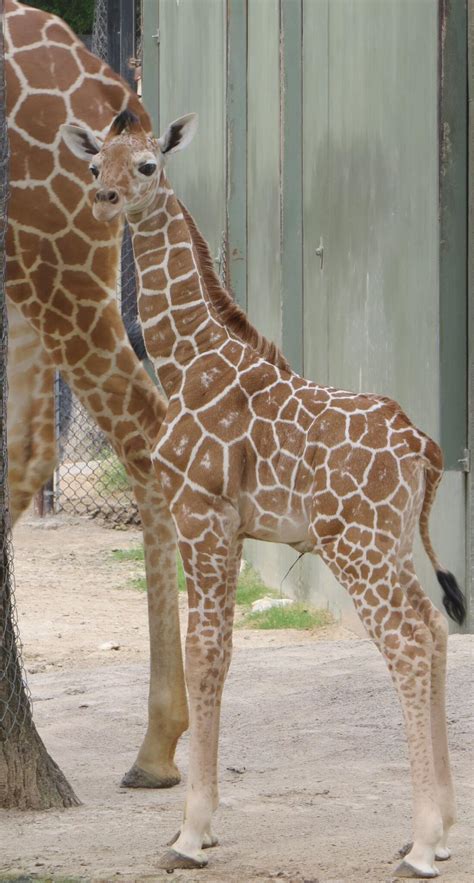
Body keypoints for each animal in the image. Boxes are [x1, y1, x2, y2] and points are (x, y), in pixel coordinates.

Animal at [64, 112, 466, 883]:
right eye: (97, 163)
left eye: (149, 165)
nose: (104, 200)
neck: (185, 361)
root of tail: (425, 449)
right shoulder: (222, 527)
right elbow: (216, 651)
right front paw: (198, 825)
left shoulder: (203, 516)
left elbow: (207, 652)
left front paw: (191, 832)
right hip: (391, 543)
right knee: (432, 629)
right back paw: (438, 829)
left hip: (354, 545)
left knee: (405, 641)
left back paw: (424, 844)